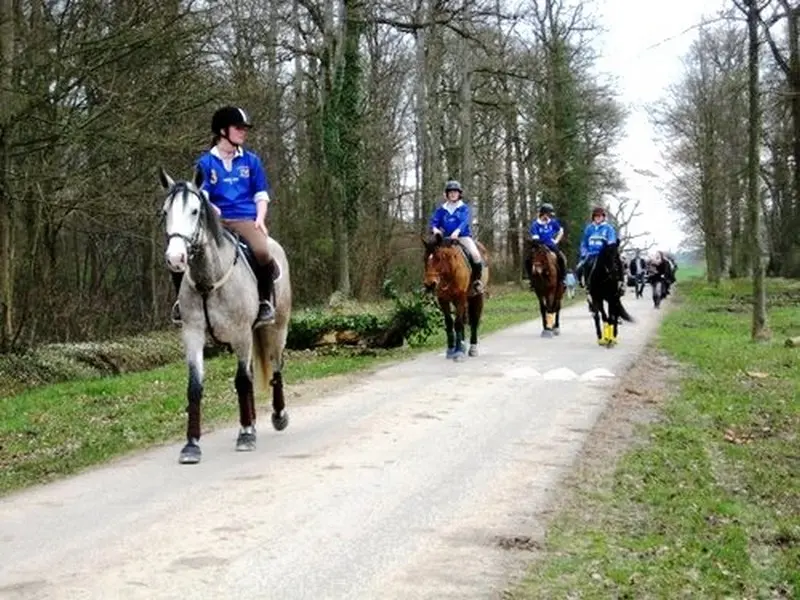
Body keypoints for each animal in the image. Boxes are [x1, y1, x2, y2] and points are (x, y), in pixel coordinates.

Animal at [158, 166, 292, 466]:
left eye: (195, 211)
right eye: (165, 211)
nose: (175, 258)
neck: (208, 280)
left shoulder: (241, 333)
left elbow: (241, 382)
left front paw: (245, 436)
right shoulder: (193, 334)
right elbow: (195, 387)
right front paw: (191, 445)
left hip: (276, 328)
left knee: (276, 365)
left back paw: (278, 416)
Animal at [424, 231, 488, 360]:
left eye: (438, 259)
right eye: (424, 259)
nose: (430, 285)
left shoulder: (461, 297)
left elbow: (458, 324)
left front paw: (458, 353)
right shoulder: (443, 300)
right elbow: (449, 323)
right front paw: (451, 349)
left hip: (477, 297)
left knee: (474, 321)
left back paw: (472, 348)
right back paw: (462, 345)